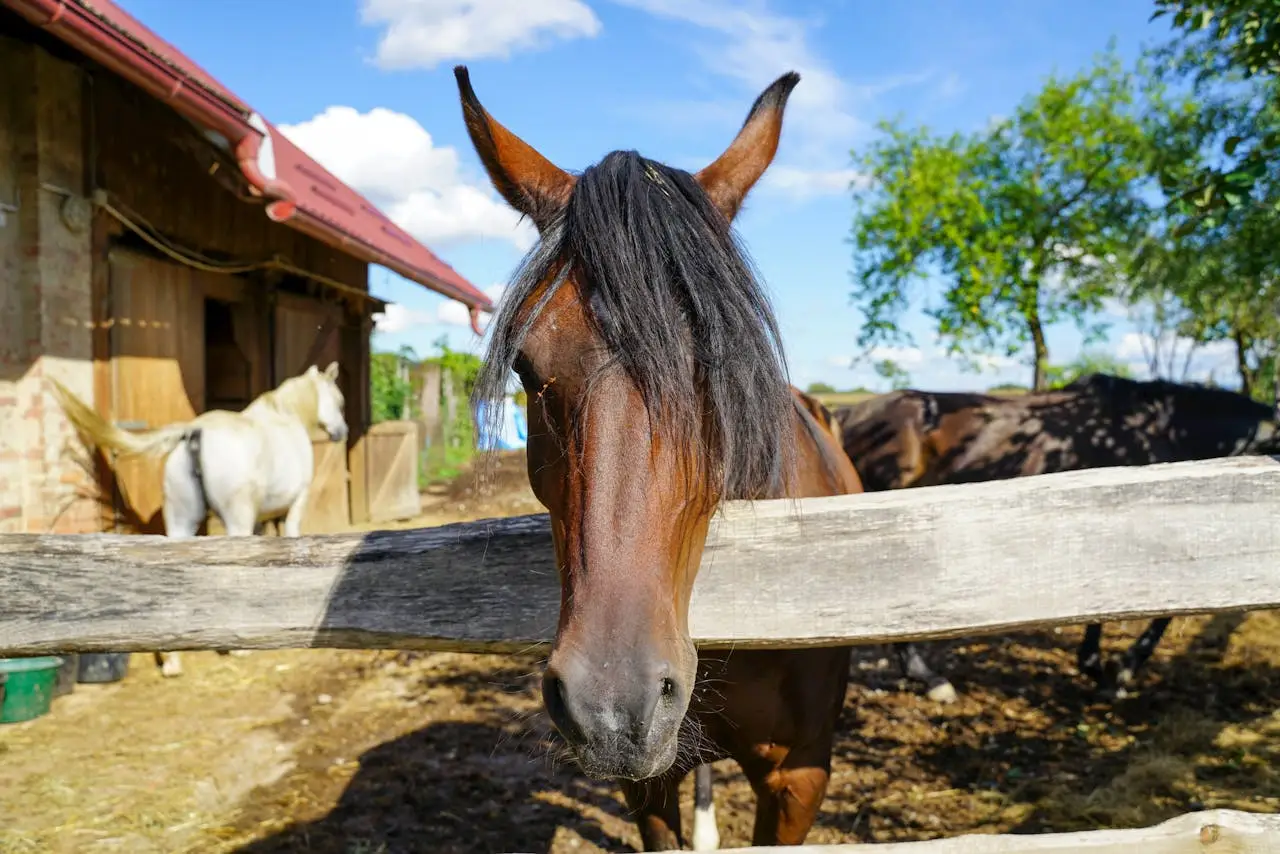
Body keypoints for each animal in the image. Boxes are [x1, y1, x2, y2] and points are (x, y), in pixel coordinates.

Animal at [53, 363, 348, 676]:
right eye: (339, 401)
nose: (342, 432)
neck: (286, 414)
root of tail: (195, 431)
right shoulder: (295, 505)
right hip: (235, 522)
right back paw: (238, 648)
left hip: (181, 523)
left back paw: (172, 661)